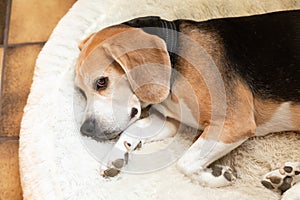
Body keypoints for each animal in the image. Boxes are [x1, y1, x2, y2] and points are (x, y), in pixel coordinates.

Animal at [75, 10, 300, 191]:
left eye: (101, 82)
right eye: (81, 92)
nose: (86, 130)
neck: (174, 59)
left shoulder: (235, 123)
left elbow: (184, 163)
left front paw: (218, 176)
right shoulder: (169, 120)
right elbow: (134, 128)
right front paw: (114, 159)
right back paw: (287, 175)